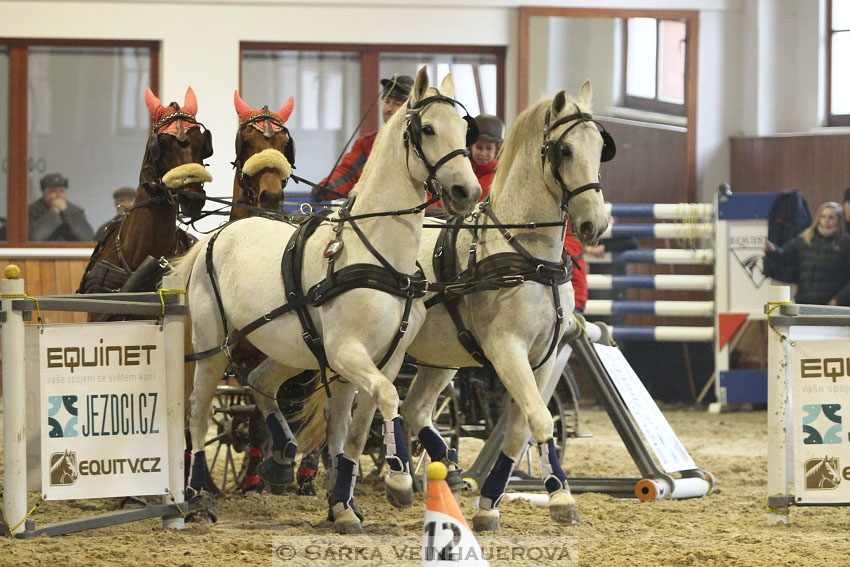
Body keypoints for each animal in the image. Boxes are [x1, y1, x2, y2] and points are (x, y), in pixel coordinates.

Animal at [169, 64, 480, 520]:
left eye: (463, 129)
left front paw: (345, 505)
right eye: (426, 129)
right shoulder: (346, 352)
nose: (467, 193)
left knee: (260, 382)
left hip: (289, 348)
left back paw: (283, 453)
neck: (378, 255)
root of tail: (216, 236)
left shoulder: (386, 358)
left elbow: (358, 426)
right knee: (197, 410)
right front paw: (399, 480)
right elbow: (387, 401)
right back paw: (196, 495)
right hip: (213, 346)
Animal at [304, 80, 608, 532]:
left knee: (411, 409)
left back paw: (435, 468)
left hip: (440, 357)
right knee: (361, 414)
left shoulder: (546, 356)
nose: (595, 224)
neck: (527, 255)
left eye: (601, 146)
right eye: (565, 150)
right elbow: (538, 416)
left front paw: (490, 504)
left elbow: (521, 430)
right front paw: (561, 498)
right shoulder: (506, 349)